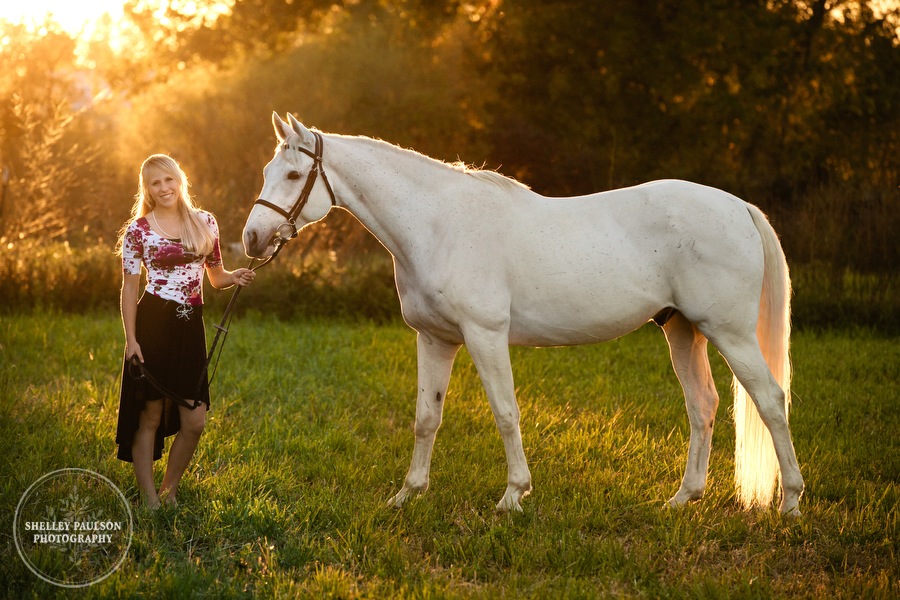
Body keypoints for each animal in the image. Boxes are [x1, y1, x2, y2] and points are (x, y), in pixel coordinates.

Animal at [243, 113, 804, 516]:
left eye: (293, 173)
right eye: (267, 172)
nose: (251, 239)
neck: (436, 224)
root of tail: (739, 207)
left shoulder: (485, 335)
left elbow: (506, 412)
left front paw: (513, 495)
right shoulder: (434, 338)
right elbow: (427, 418)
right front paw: (408, 494)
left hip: (729, 333)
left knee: (770, 400)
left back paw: (791, 503)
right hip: (683, 330)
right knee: (703, 405)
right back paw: (683, 499)